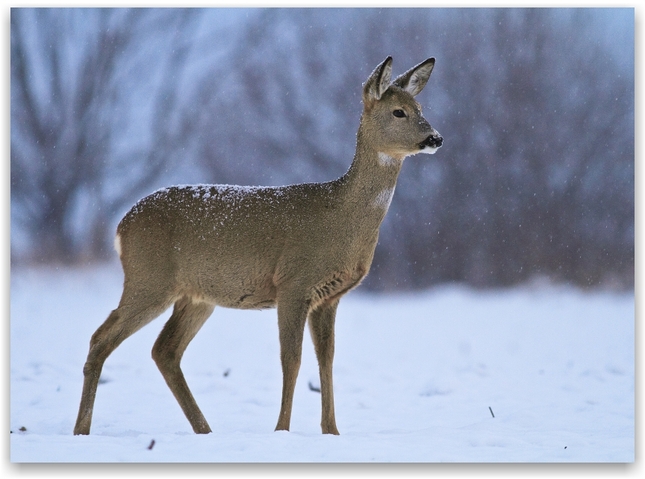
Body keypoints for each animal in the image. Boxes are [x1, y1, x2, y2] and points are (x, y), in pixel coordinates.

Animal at [71, 56, 442, 438]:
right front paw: (282, 430)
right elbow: (291, 359)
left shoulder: (329, 297)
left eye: (421, 108)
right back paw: (81, 430)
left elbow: (327, 360)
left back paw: (205, 430)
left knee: (165, 350)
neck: (340, 217)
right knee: (102, 338)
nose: (435, 138)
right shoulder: (293, 283)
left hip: (196, 294)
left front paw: (332, 432)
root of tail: (121, 226)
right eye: (398, 112)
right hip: (149, 278)